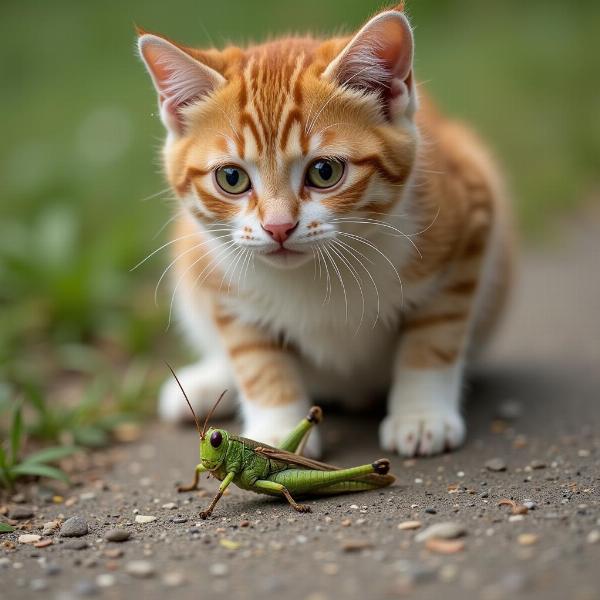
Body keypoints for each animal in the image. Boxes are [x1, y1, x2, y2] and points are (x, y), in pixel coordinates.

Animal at [138, 3, 512, 454]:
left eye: (324, 171)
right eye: (231, 178)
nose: (278, 226)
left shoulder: (471, 223)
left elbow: (435, 336)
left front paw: (422, 415)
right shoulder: (220, 284)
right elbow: (255, 357)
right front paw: (276, 432)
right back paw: (207, 382)